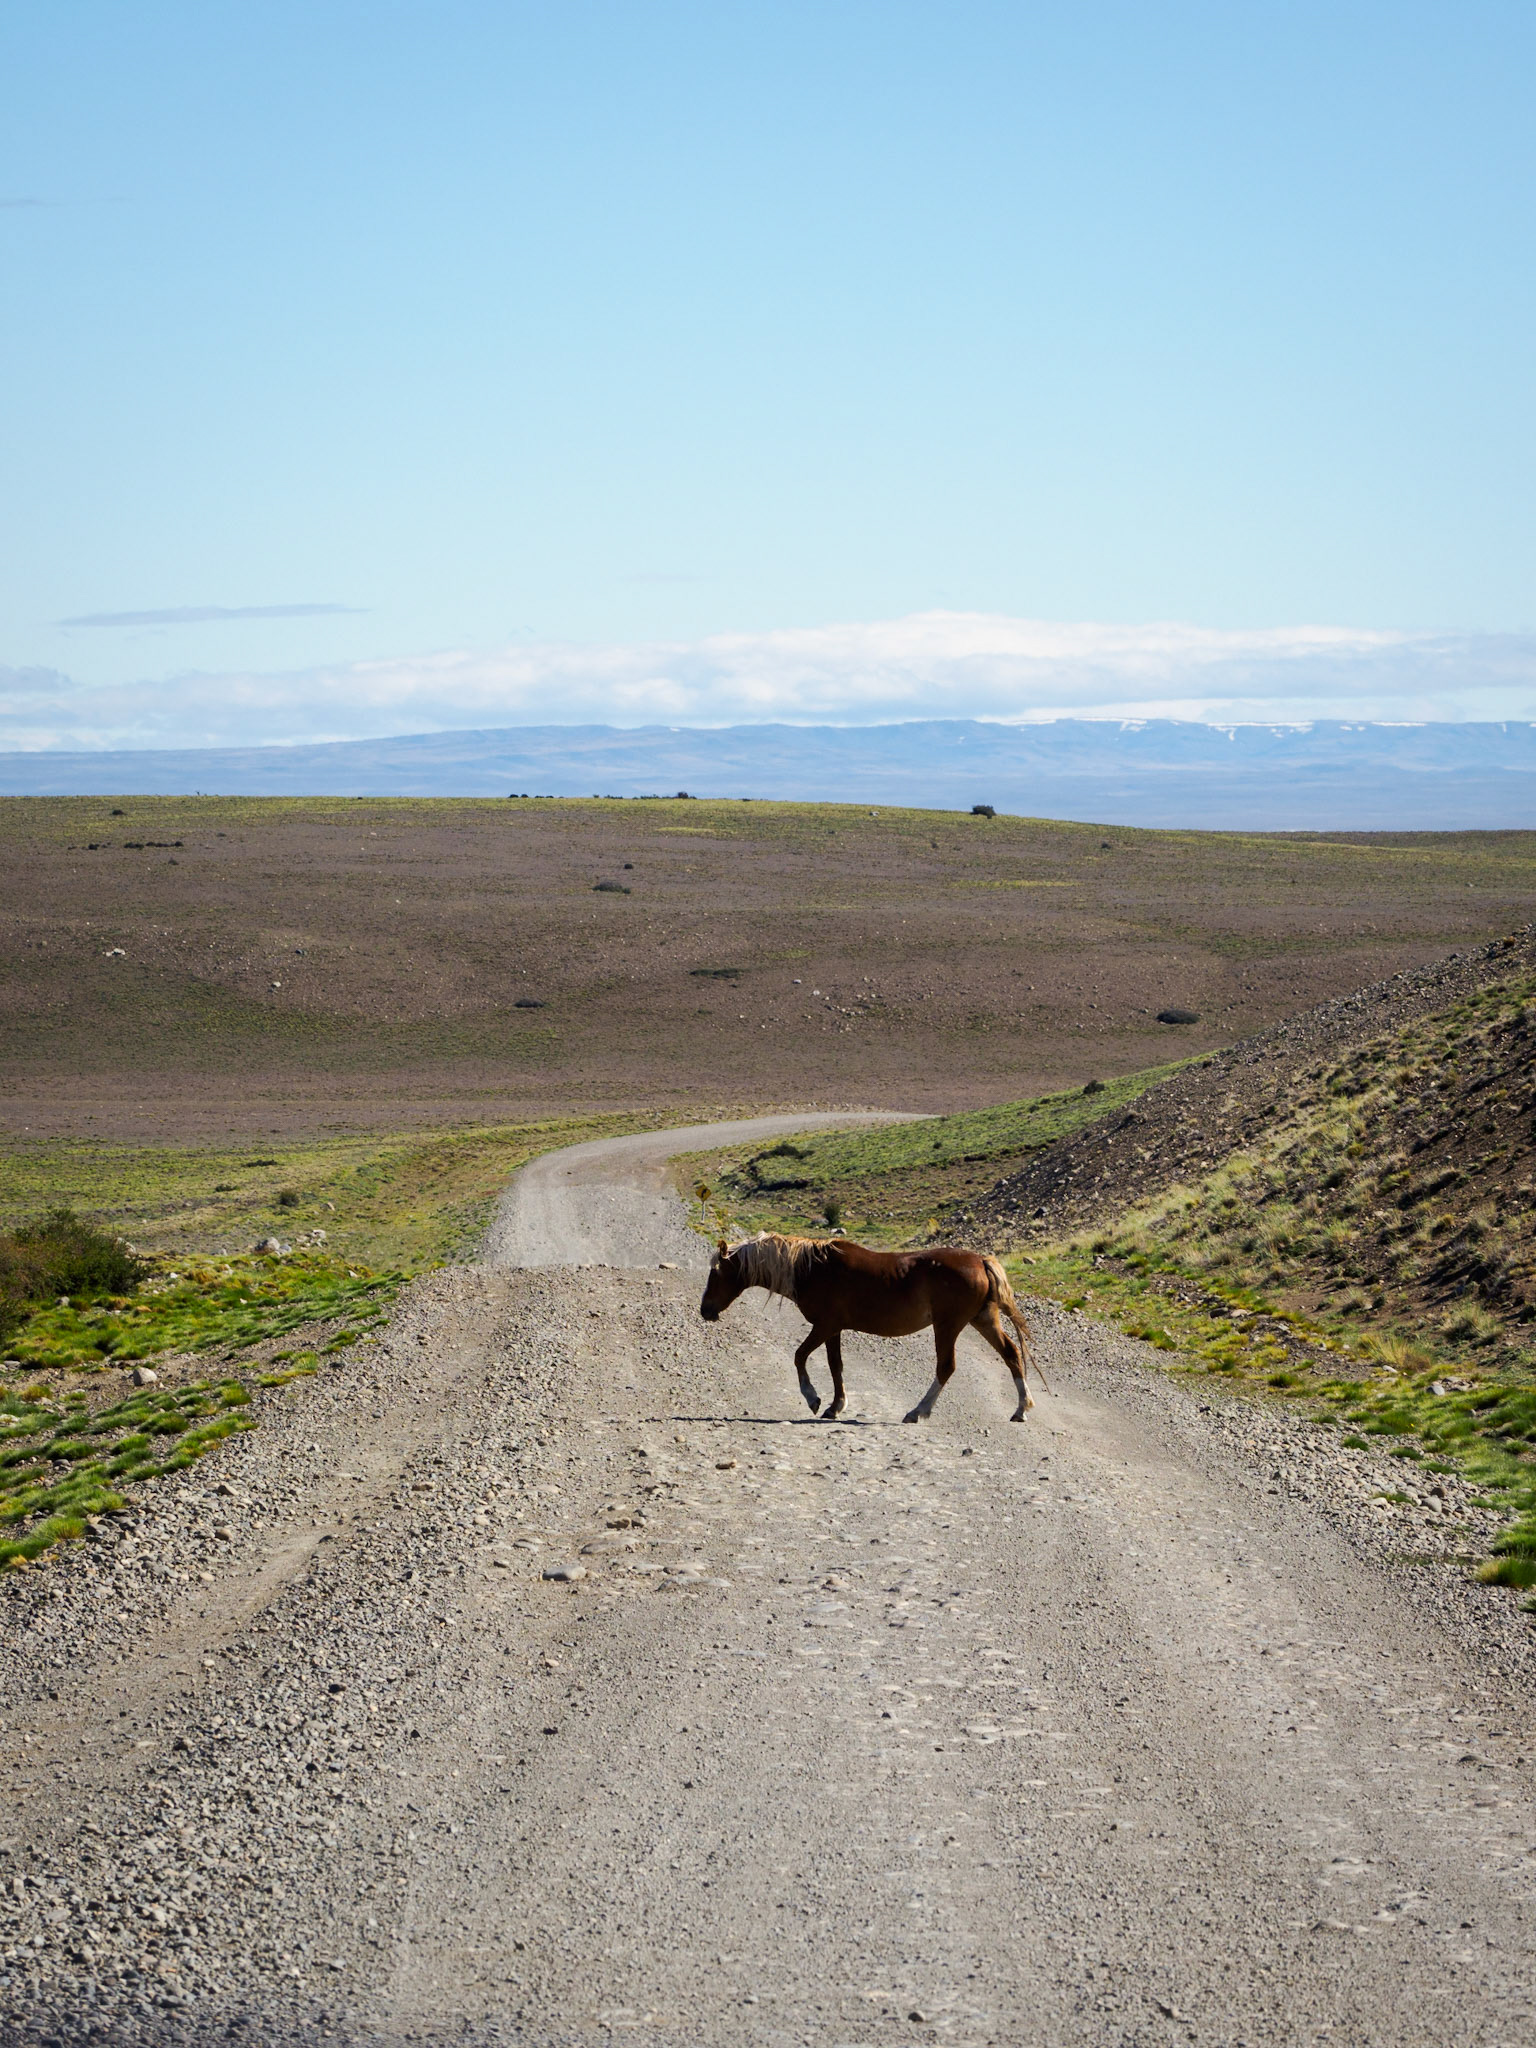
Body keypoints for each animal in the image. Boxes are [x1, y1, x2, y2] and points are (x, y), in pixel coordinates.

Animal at [698, 1232, 1039, 1423]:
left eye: (716, 1273)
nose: (705, 1310)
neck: (812, 1268)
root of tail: (980, 1261)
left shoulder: (824, 1325)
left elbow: (799, 1356)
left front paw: (813, 1398)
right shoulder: (833, 1330)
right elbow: (835, 1366)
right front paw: (835, 1406)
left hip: (949, 1325)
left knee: (946, 1367)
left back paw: (918, 1411)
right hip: (983, 1319)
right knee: (1011, 1354)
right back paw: (1021, 1409)